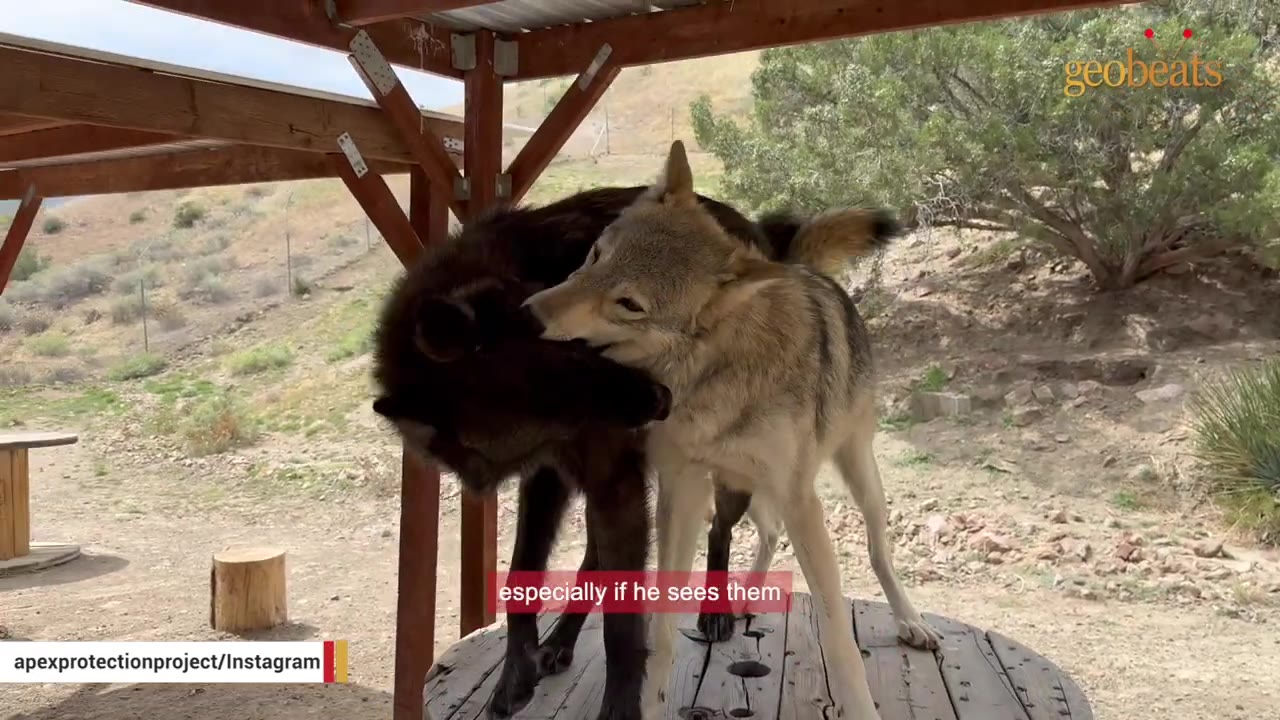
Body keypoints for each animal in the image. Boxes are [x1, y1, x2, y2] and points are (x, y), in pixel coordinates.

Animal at [371, 186, 829, 720]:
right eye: (555, 399)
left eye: (574, 350)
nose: (663, 401)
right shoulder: (552, 477)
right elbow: (521, 577)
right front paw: (514, 677)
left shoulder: (611, 477)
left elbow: (621, 624)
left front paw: (620, 705)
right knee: (595, 559)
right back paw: (559, 642)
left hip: (723, 474)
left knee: (718, 529)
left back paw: (714, 612)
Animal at [524, 141, 942, 720]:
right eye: (595, 256)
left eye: (629, 304)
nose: (527, 315)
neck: (716, 371)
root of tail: (797, 265)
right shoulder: (680, 491)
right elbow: (662, 625)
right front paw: (651, 700)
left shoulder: (799, 496)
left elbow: (838, 636)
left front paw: (860, 706)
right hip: (740, 488)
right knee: (767, 533)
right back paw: (742, 597)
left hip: (856, 478)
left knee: (877, 549)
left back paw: (910, 621)